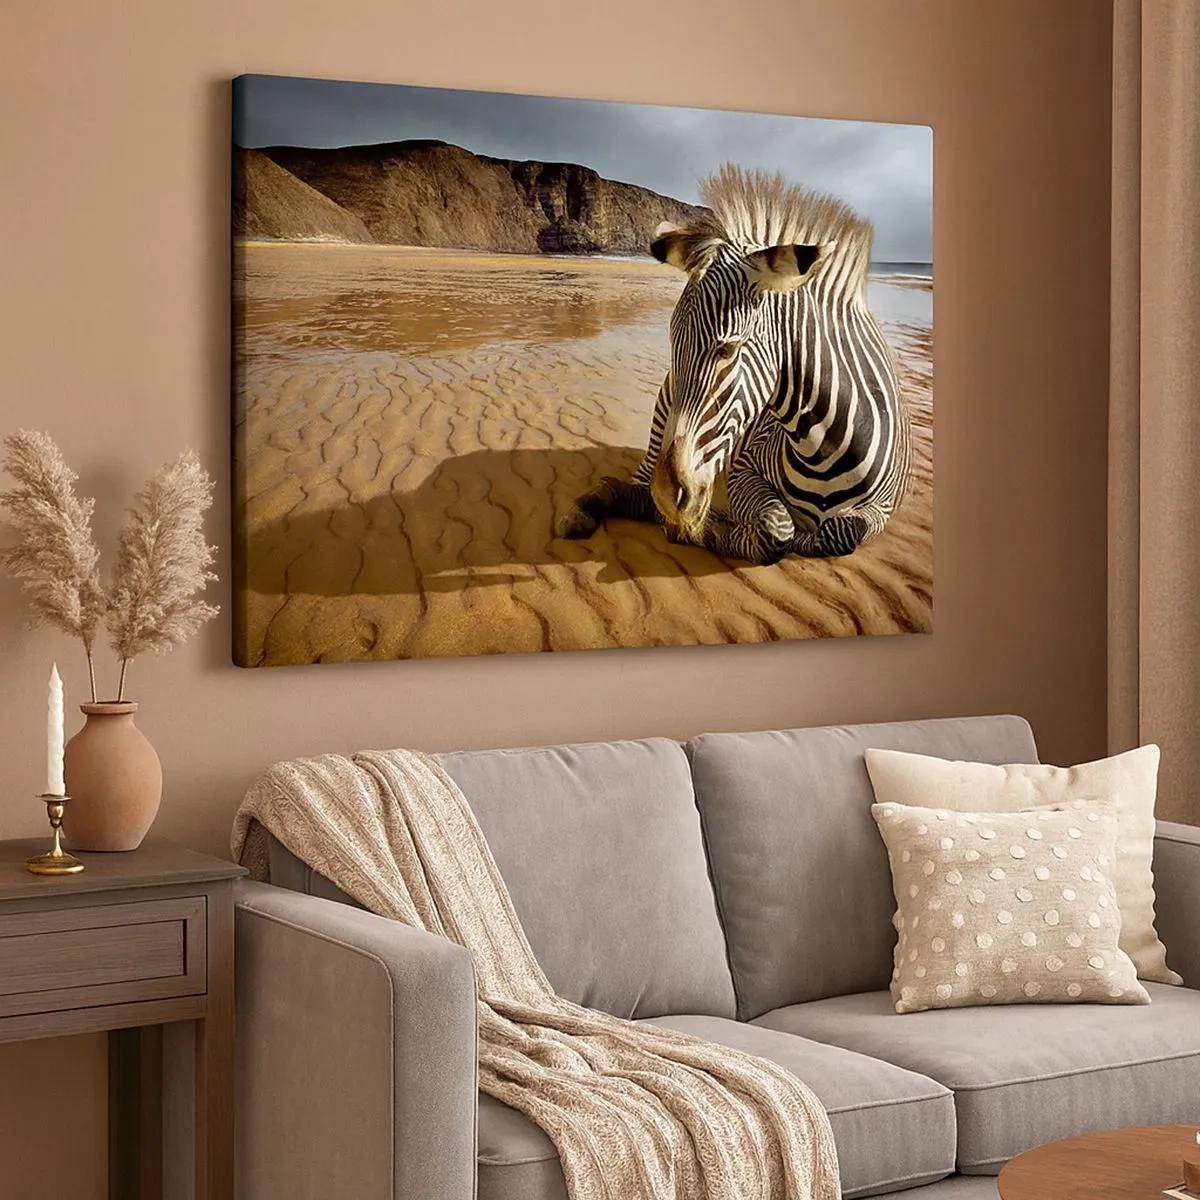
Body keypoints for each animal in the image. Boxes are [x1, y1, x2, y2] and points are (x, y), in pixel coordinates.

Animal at [557, 165, 912, 565]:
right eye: (672, 342)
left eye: (726, 349)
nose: (668, 495)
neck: (824, 448)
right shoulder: (744, 469)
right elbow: (777, 530)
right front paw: (707, 529)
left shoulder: (882, 509)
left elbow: (840, 532)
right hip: (663, 418)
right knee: (635, 488)